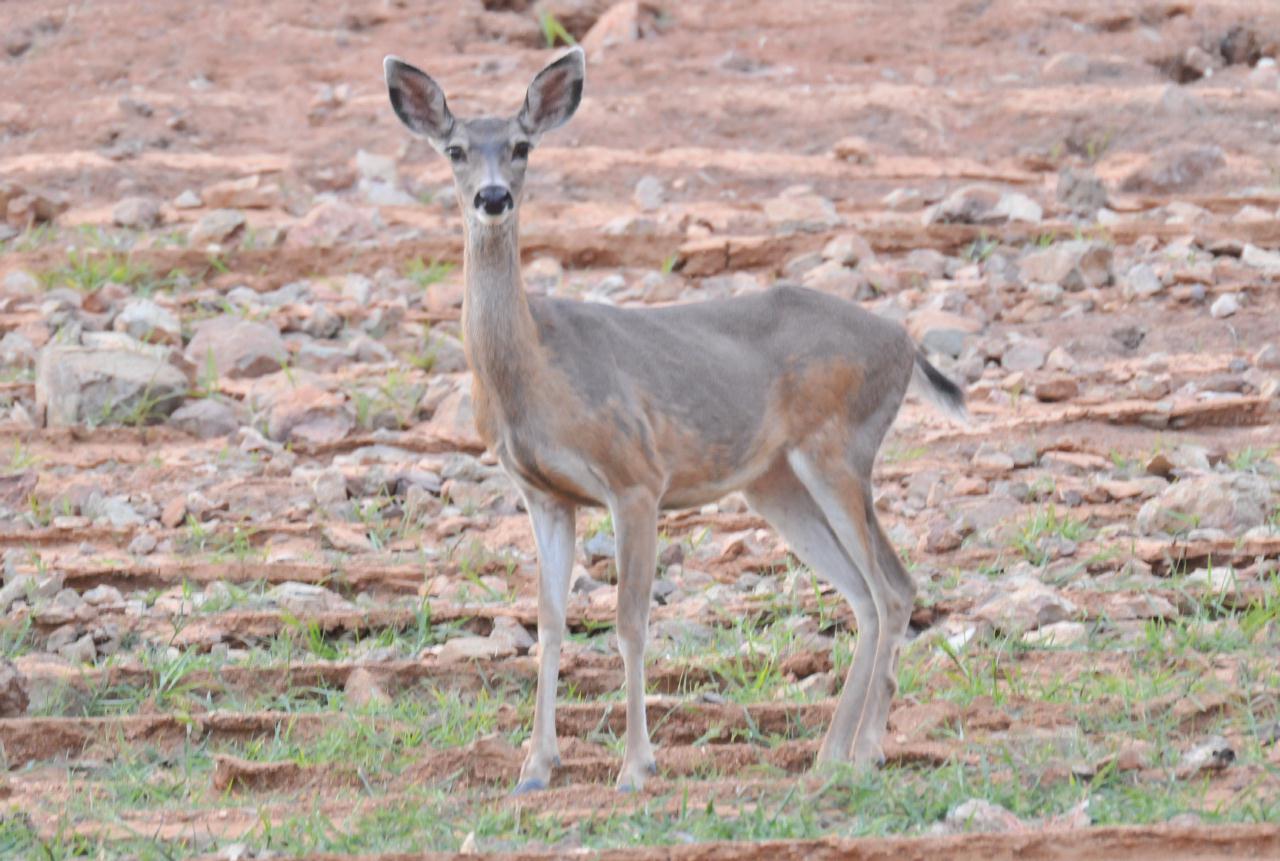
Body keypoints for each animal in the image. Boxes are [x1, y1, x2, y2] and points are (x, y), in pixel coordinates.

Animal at [384, 43, 962, 788]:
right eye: (455, 150)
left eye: (521, 146)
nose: (493, 197)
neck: (536, 371)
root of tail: (906, 342)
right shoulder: (543, 493)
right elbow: (550, 620)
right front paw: (536, 765)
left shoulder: (635, 476)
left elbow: (630, 620)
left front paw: (636, 765)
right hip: (774, 482)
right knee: (864, 592)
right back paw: (833, 754)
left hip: (839, 447)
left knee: (892, 587)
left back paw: (863, 752)